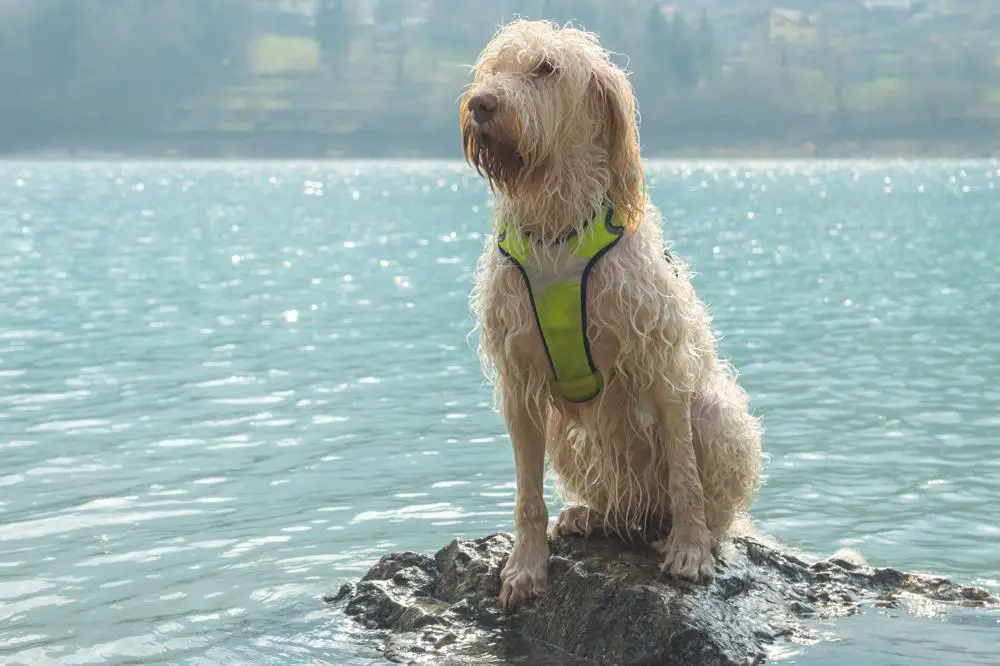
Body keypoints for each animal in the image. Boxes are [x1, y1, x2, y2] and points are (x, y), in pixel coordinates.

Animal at [460, 19, 764, 612]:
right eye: (492, 68)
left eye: (546, 69)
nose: (482, 104)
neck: (556, 227)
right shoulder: (519, 385)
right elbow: (527, 496)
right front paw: (526, 567)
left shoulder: (664, 368)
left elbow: (687, 476)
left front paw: (690, 549)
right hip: (567, 433)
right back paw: (590, 515)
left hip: (715, 410)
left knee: (707, 503)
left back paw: (692, 533)